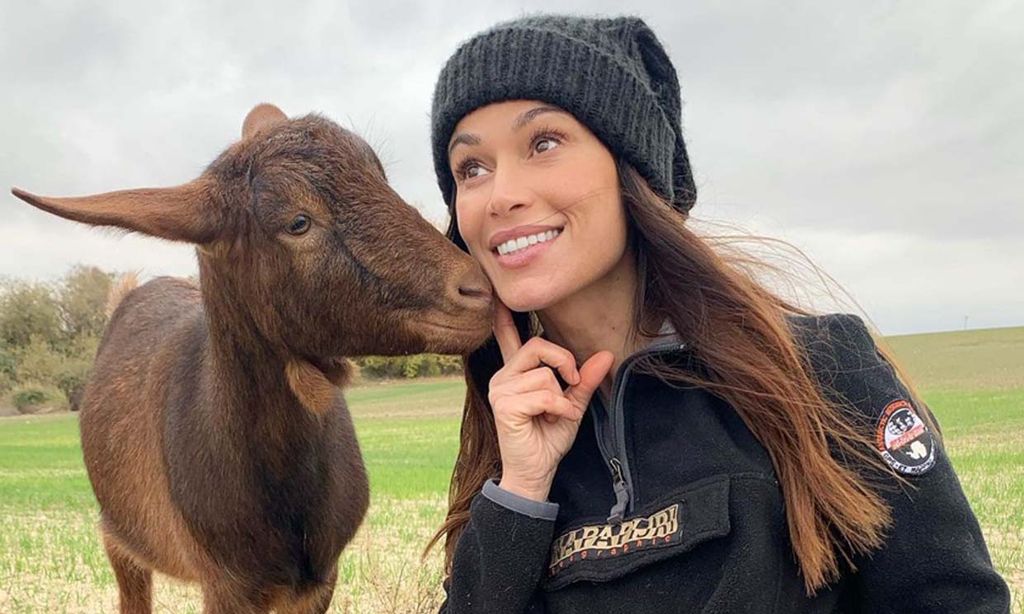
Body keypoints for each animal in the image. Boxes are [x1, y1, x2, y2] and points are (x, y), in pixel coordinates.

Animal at [11, 103, 491, 609]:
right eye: (298, 222)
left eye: (380, 178)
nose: (475, 291)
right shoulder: (226, 584)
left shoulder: (321, 579)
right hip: (119, 536)